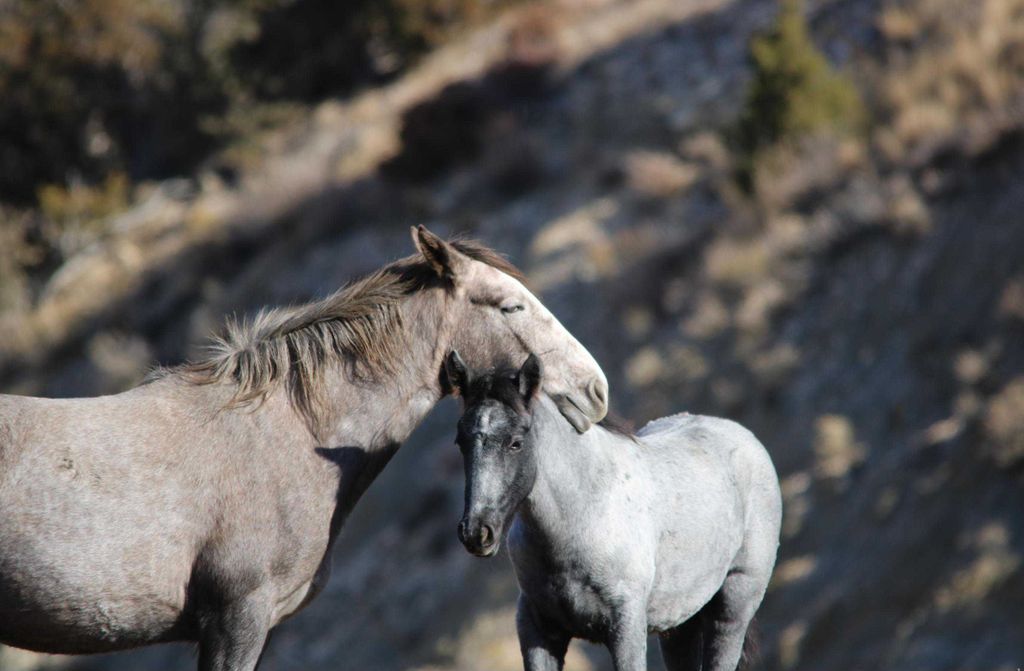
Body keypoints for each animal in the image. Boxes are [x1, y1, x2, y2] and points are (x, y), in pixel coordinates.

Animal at [445, 351, 781, 671]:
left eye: (515, 443)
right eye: (461, 441)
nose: (476, 532)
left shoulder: (626, 630)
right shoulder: (538, 631)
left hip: (732, 610)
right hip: (679, 625)